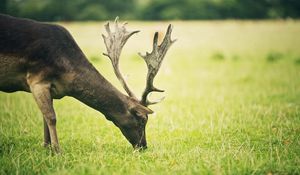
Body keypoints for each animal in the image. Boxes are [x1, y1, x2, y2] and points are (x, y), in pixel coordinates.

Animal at [0, 14, 176, 153]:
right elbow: (51, 117)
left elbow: (45, 118)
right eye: (142, 119)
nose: (143, 146)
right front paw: (57, 151)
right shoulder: (36, 79)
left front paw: (46, 147)